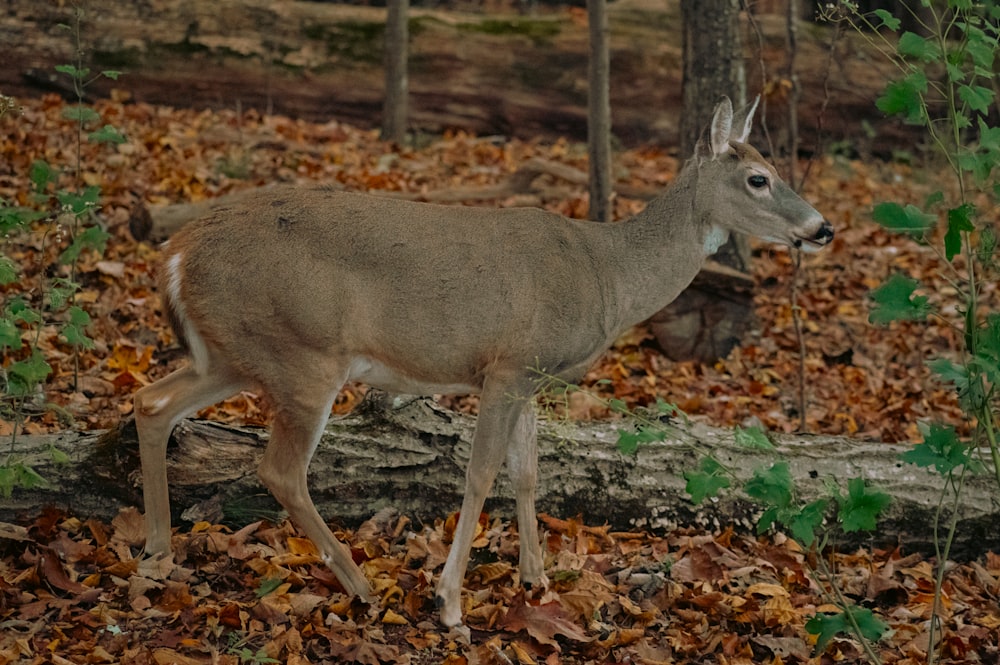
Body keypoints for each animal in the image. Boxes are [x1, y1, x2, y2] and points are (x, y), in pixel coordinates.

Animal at [135, 94, 836, 628]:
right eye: (758, 178)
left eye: (773, 166)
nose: (822, 227)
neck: (606, 274)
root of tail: (176, 254)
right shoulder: (506, 366)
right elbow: (479, 474)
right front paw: (450, 602)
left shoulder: (530, 376)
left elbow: (527, 473)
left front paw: (536, 579)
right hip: (304, 354)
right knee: (280, 470)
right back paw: (359, 586)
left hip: (232, 355)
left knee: (151, 403)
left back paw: (157, 553)